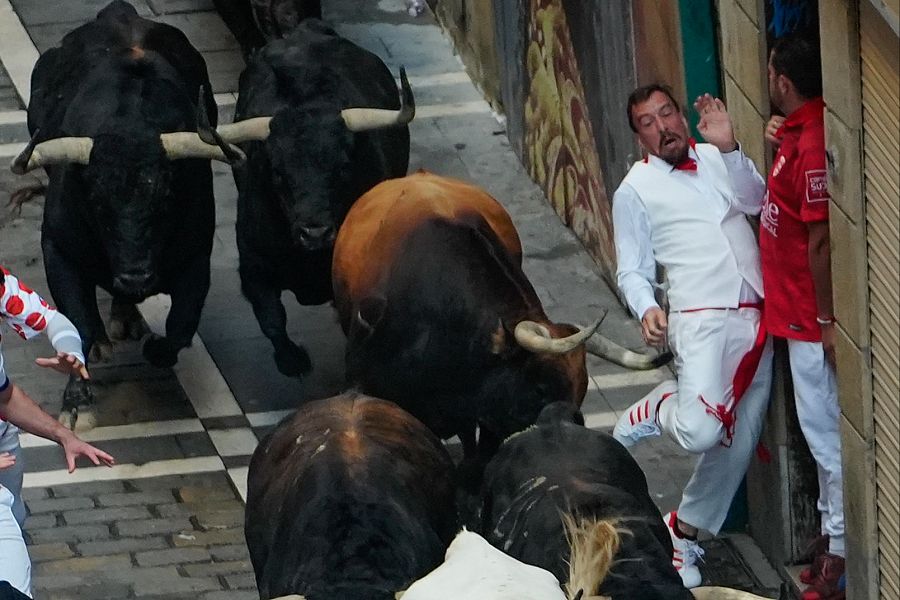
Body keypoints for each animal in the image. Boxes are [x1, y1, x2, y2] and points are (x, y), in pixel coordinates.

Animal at [12, 1, 243, 432]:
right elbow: (80, 325)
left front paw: (155, 348)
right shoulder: (58, 249)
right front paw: (77, 404)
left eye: (166, 198)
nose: (136, 277)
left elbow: (181, 324)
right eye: (97, 202)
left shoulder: (195, 256)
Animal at [199, 19, 414, 380]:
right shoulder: (254, 265)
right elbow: (271, 318)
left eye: (343, 166)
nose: (315, 233)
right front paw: (292, 360)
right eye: (277, 171)